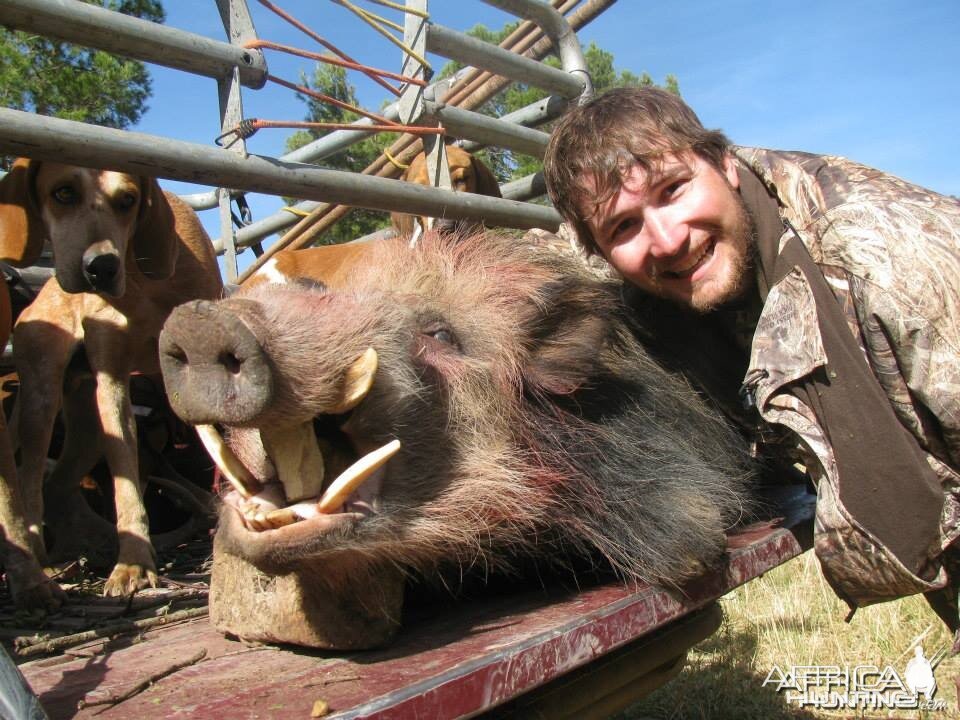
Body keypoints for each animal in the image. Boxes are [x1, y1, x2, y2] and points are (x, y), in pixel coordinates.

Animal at [0, 159, 221, 600]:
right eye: (63, 192)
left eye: (128, 200)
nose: (99, 269)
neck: (141, 281)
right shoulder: (114, 382)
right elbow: (126, 482)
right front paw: (133, 564)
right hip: (43, 400)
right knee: (30, 478)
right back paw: (39, 567)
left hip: (85, 429)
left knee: (56, 487)